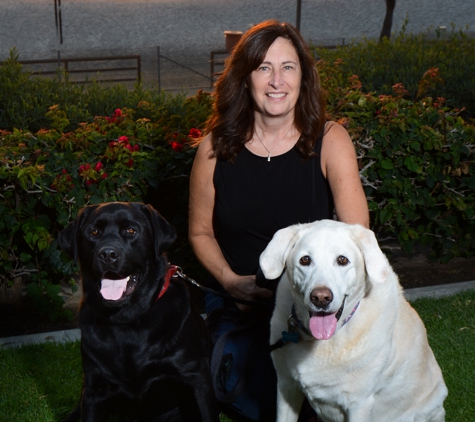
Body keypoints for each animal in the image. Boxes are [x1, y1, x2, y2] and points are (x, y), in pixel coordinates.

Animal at [58, 203, 219, 420]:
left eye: (131, 230)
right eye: (94, 232)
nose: (107, 254)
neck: (126, 321)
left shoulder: (196, 375)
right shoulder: (93, 388)